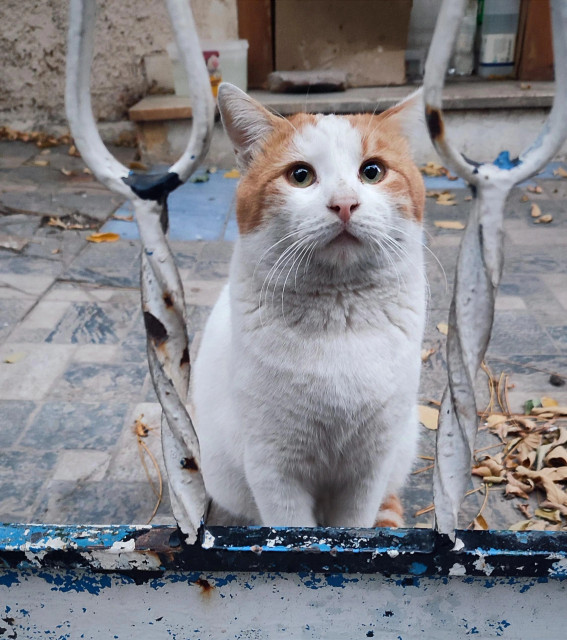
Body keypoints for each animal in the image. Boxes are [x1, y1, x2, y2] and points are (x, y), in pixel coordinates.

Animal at [192, 82, 426, 528]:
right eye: (300, 176)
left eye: (372, 172)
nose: (345, 203)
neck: (340, 316)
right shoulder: (274, 469)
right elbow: (294, 527)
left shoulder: (369, 469)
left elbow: (355, 524)